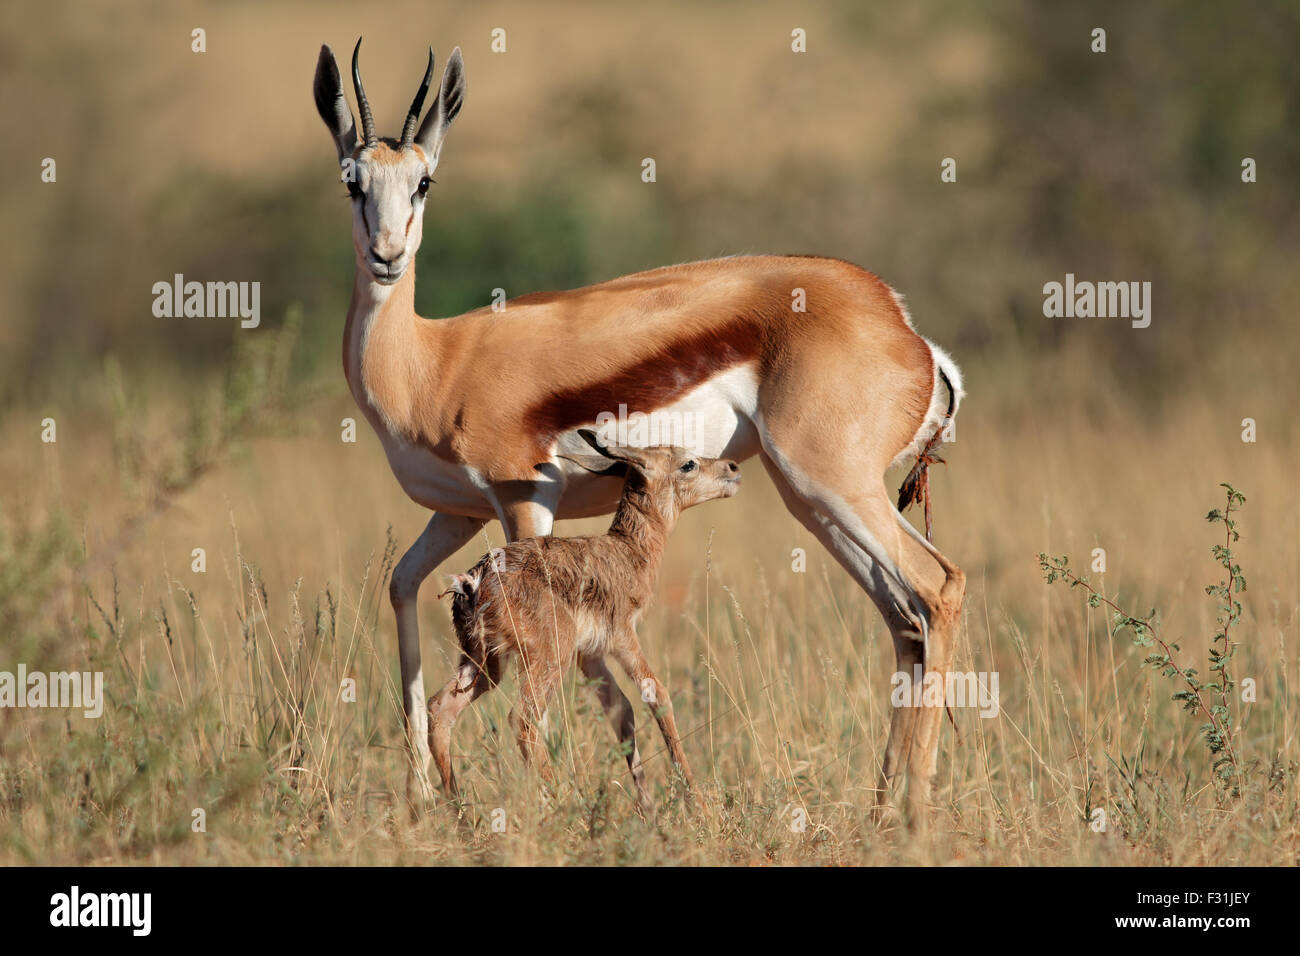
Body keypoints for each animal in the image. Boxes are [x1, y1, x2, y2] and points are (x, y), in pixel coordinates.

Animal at [423, 434, 733, 816]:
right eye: (688, 463)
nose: (733, 467)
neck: (629, 552)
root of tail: (474, 581)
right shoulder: (622, 637)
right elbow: (656, 692)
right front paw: (697, 803)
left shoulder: (591, 654)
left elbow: (621, 710)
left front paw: (647, 807)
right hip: (546, 659)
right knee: (522, 717)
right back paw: (559, 802)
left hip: (485, 664)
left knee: (441, 708)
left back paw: (461, 813)